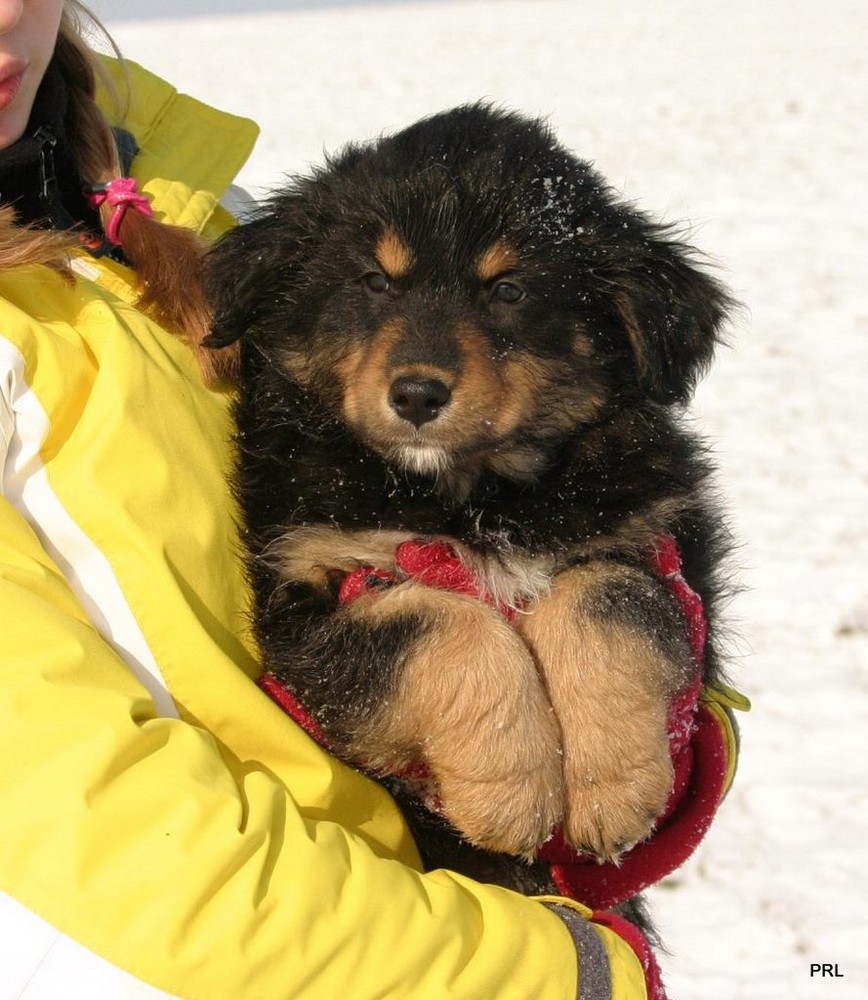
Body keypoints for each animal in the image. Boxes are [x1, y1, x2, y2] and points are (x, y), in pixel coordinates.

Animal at [203, 105, 732, 904]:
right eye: (374, 281)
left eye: (508, 290)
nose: (417, 395)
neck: (473, 494)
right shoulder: (306, 589)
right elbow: (439, 624)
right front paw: (511, 790)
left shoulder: (658, 542)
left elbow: (604, 596)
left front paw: (616, 787)